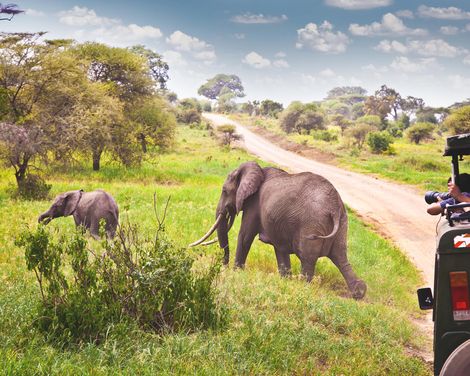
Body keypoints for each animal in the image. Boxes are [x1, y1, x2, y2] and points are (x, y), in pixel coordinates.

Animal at [191, 161, 368, 300]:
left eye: (224, 191)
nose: (224, 267)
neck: (258, 170)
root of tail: (334, 207)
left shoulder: (254, 205)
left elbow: (245, 236)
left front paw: (236, 273)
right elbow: (279, 249)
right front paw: (285, 280)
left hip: (312, 223)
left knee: (308, 258)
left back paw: (302, 287)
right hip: (342, 223)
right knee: (340, 257)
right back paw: (359, 292)